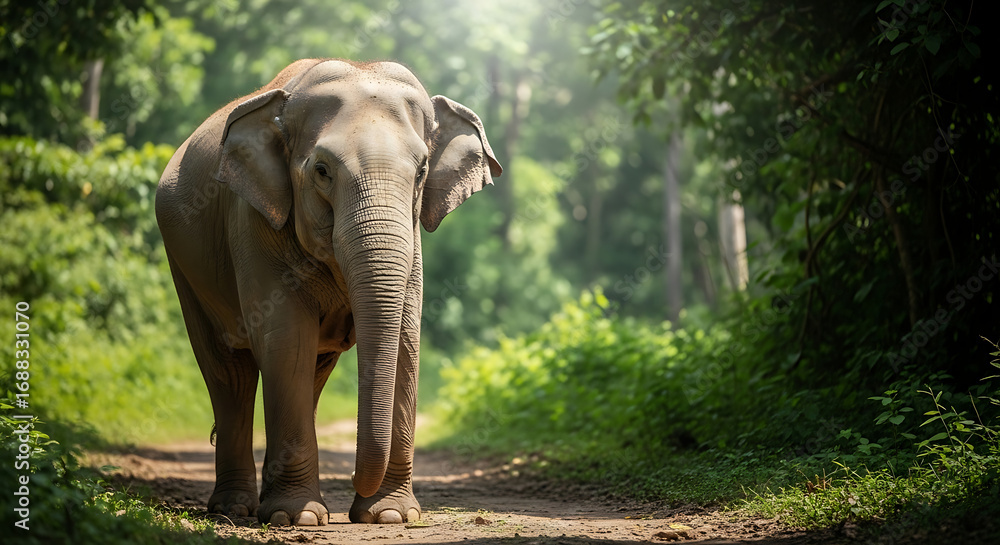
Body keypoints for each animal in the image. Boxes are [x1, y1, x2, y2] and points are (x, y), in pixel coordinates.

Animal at [155, 59, 501, 526]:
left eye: (422, 172)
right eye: (322, 171)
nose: (353, 483)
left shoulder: (412, 243)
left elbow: (405, 342)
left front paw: (389, 517)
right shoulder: (253, 221)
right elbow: (286, 340)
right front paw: (296, 518)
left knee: (311, 374)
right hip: (185, 268)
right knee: (229, 374)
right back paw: (235, 509)